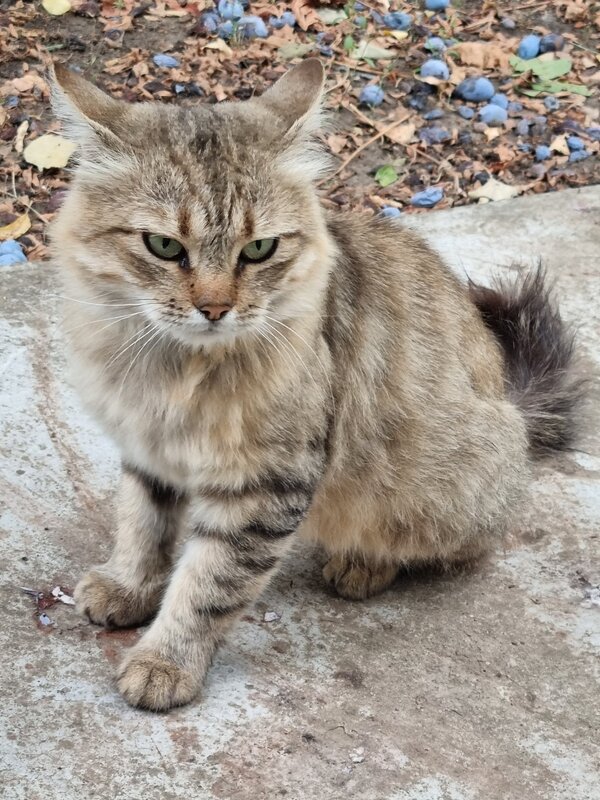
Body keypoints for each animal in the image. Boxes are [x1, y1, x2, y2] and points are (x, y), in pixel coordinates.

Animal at [49, 59, 584, 708]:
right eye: (164, 246)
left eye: (259, 249)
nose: (214, 309)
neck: (173, 367)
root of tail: (514, 404)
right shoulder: (149, 450)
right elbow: (141, 526)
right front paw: (129, 587)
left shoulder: (266, 483)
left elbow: (207, 586)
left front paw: (165, 662)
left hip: (442, 491)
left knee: (458, 544)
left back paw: (365, 565)